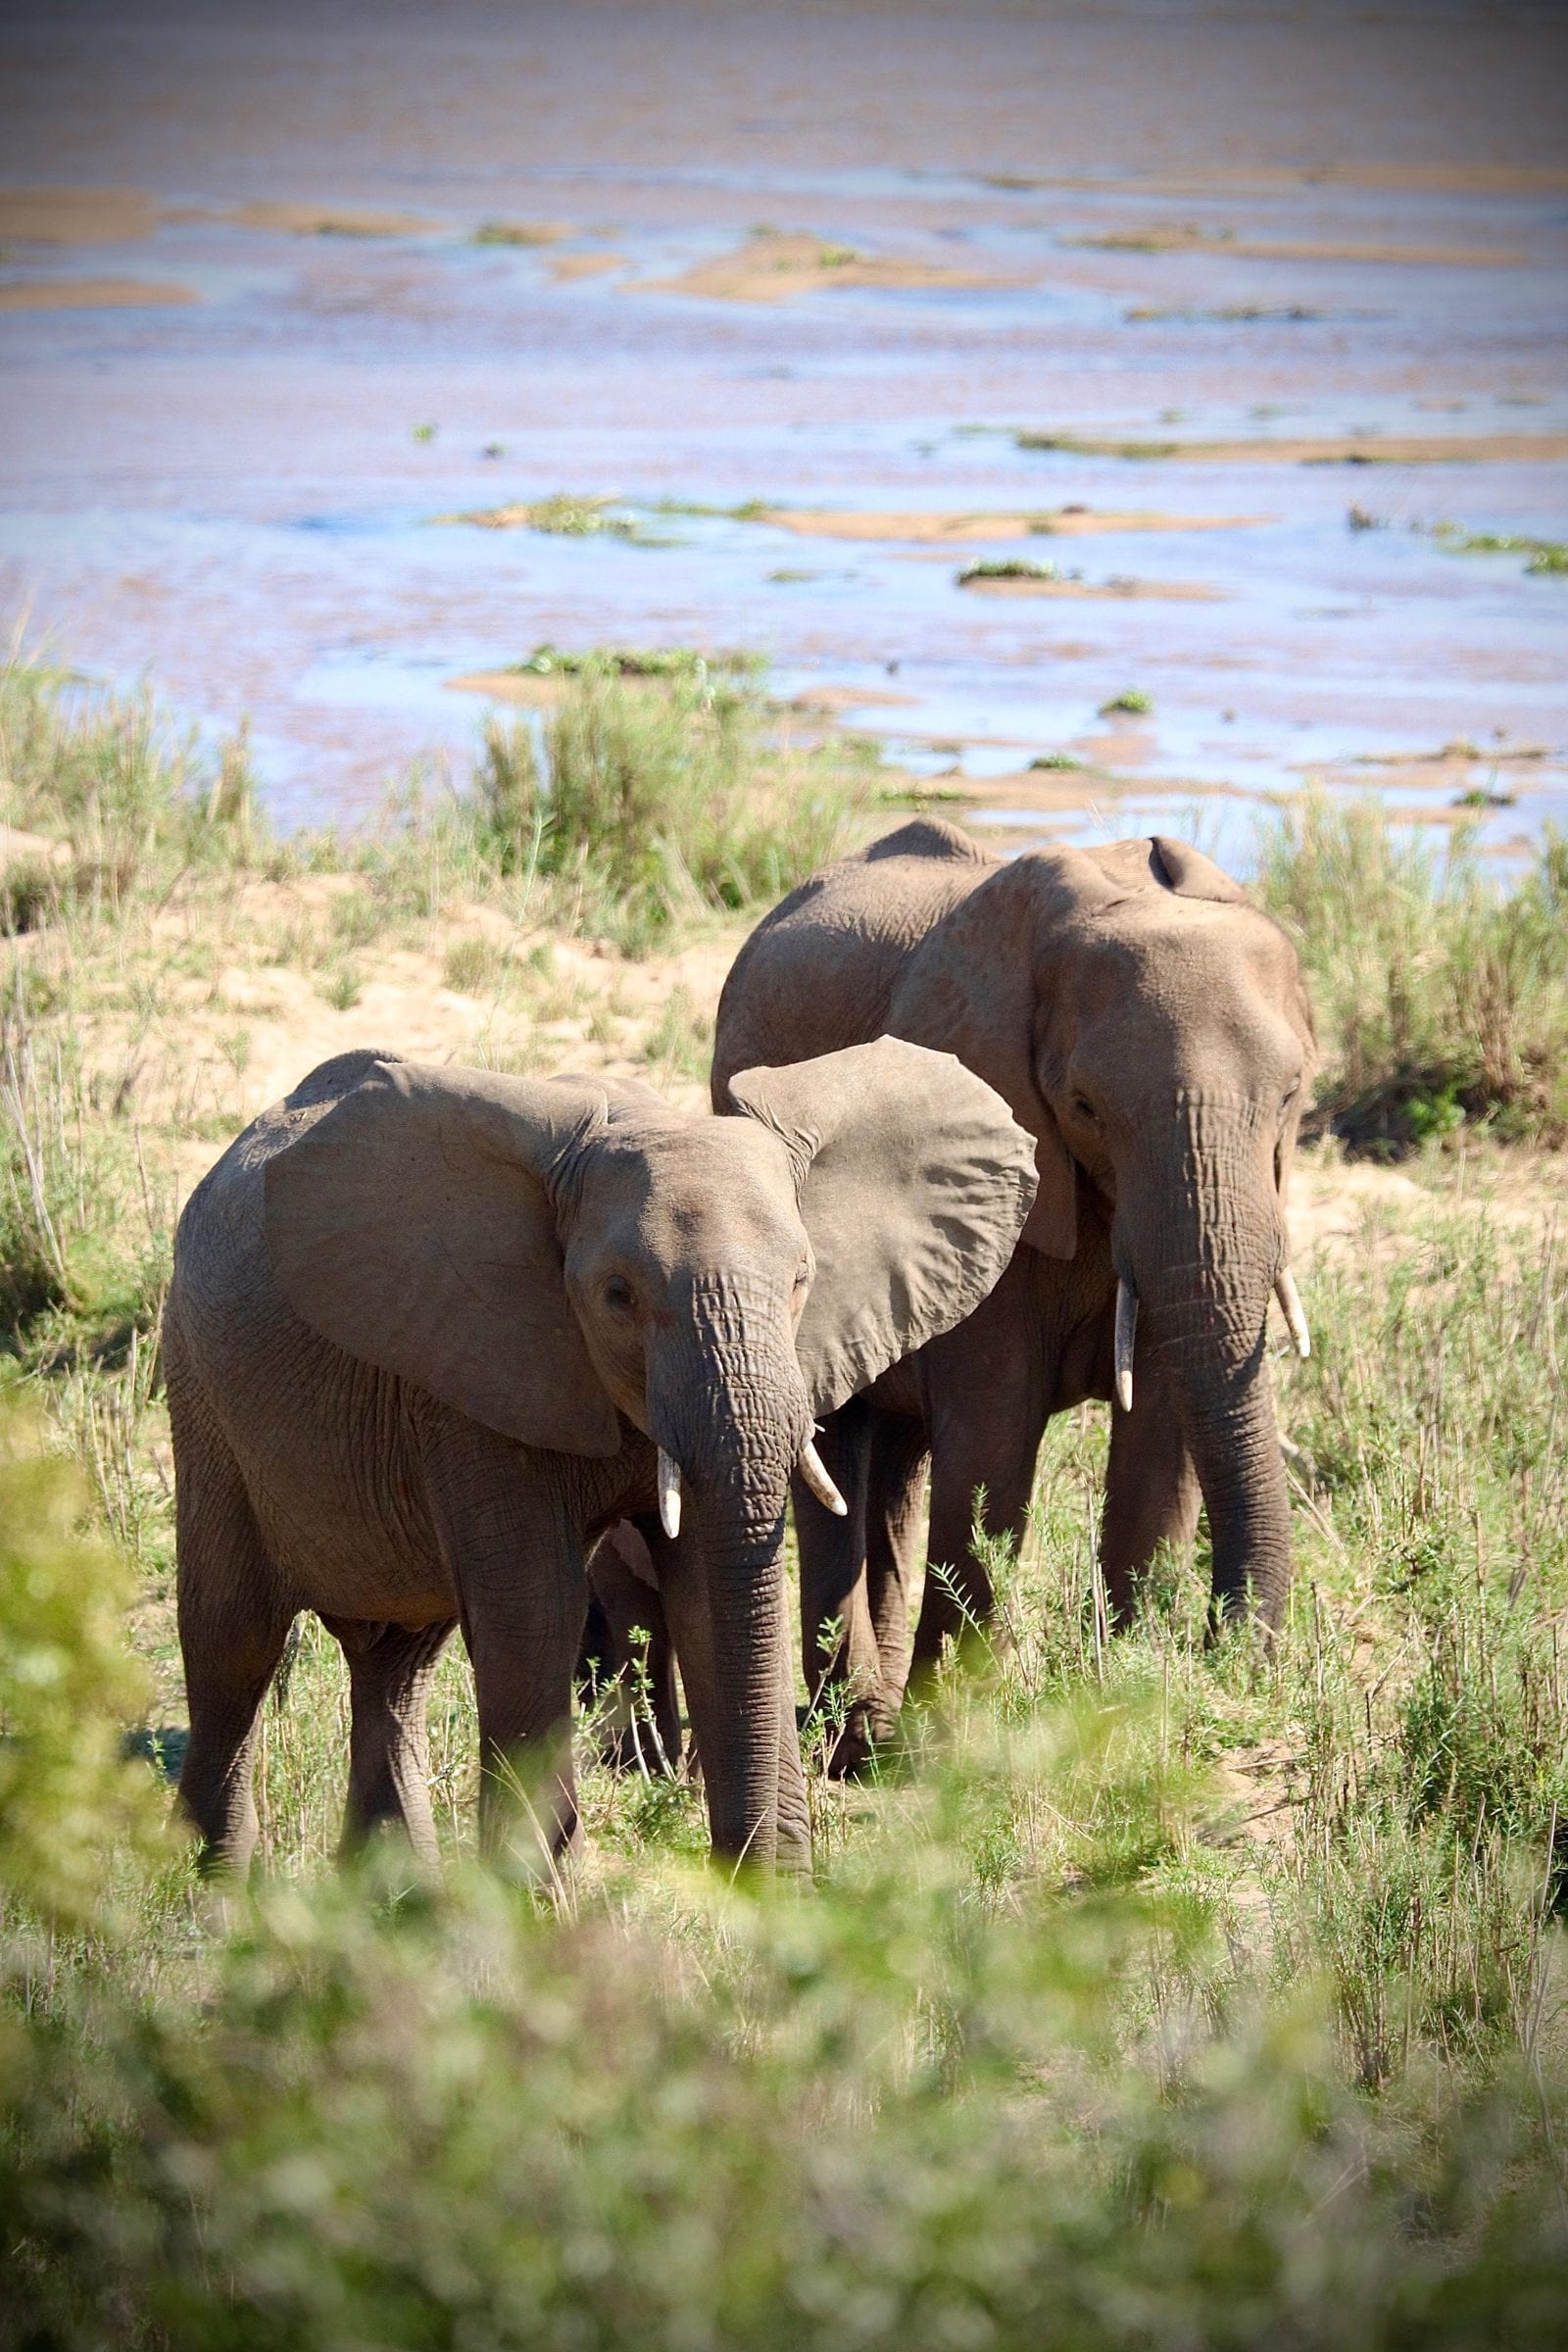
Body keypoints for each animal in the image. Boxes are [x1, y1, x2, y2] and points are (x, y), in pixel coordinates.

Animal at [164, 1037, 1036, 1875]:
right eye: (618, 1295)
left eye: (801, 1279)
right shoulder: (471, 1380)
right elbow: (535, 1613)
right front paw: (545, 1908)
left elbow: (706, 1599)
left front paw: (770, 1890)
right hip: (202, 1400)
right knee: (233, 1645)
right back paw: (211, 1897)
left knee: (397, 1663)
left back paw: (391, 1901)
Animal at [711, 820, 1315, 1762]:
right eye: (1085, 1106)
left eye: (1291, 1096)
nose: (1227, 1650)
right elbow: (996, 1435)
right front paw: (947, 1744)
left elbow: (1161, 1432)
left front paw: (1123, 1698)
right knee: (840, 1445)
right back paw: (859, 1740)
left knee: (897, 1459)